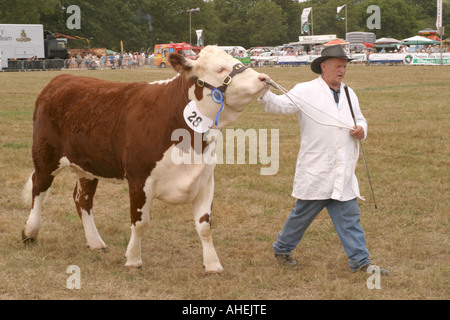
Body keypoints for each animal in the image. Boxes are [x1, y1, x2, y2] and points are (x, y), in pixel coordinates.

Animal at [22, 46, 270, 274]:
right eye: (220, 69)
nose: (264, 78)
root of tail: (63, 78)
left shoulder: (205, 180)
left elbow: (204, 226)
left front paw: (212, 264)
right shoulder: (139, 178)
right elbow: (140, 222)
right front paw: (133, 259)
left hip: (87, 166)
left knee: (82, 199)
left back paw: (95, 241)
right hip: (45, 156)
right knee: (38, 188)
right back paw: (29, 232)